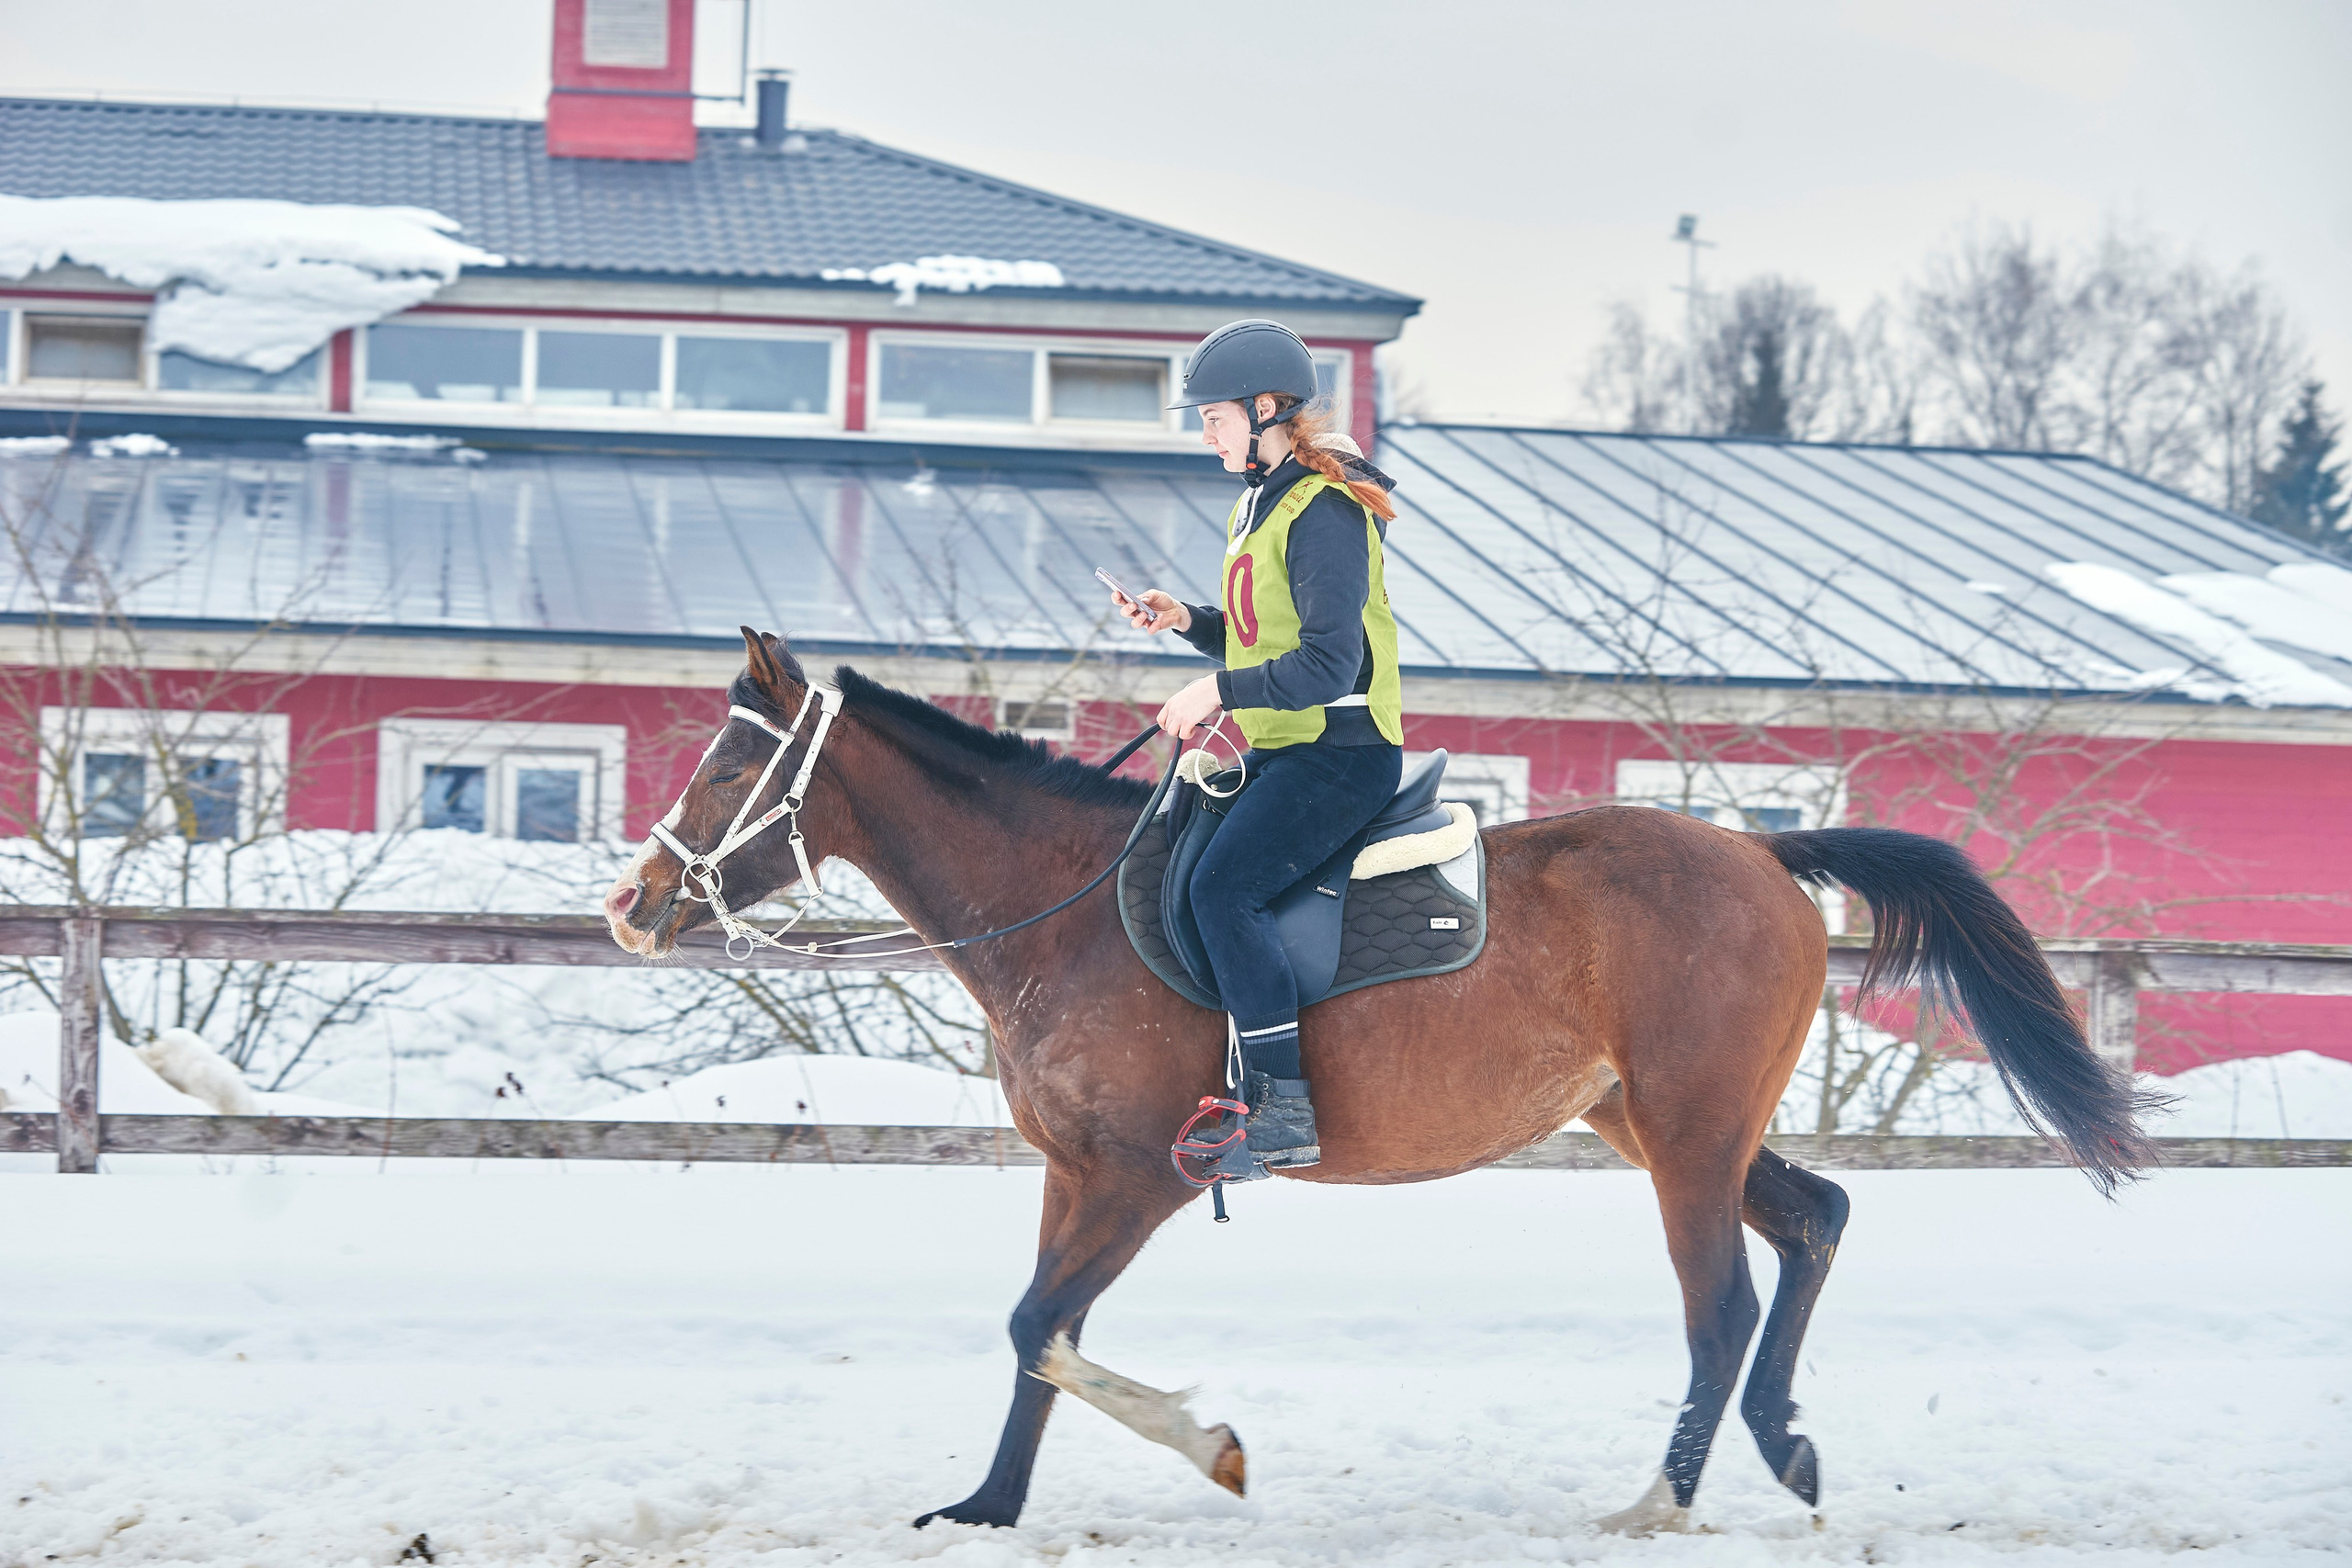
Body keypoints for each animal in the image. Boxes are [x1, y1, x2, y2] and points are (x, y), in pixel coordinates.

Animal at [602, 628, 2155, 1535]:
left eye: (733, 761)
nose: (631, 903)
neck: (1065, 906)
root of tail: (1763, 852)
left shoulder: (1142, 1176)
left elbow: (1039, 1322)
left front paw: (1213, 1441)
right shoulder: (1072, 1172)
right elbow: (1040, 1334)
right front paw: (989, 1504)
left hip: (1690, 1136)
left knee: (1721, 1300)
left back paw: (1661, 1497)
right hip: (1663, 1124)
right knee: (1818, 1218)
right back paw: (1785, 1449)